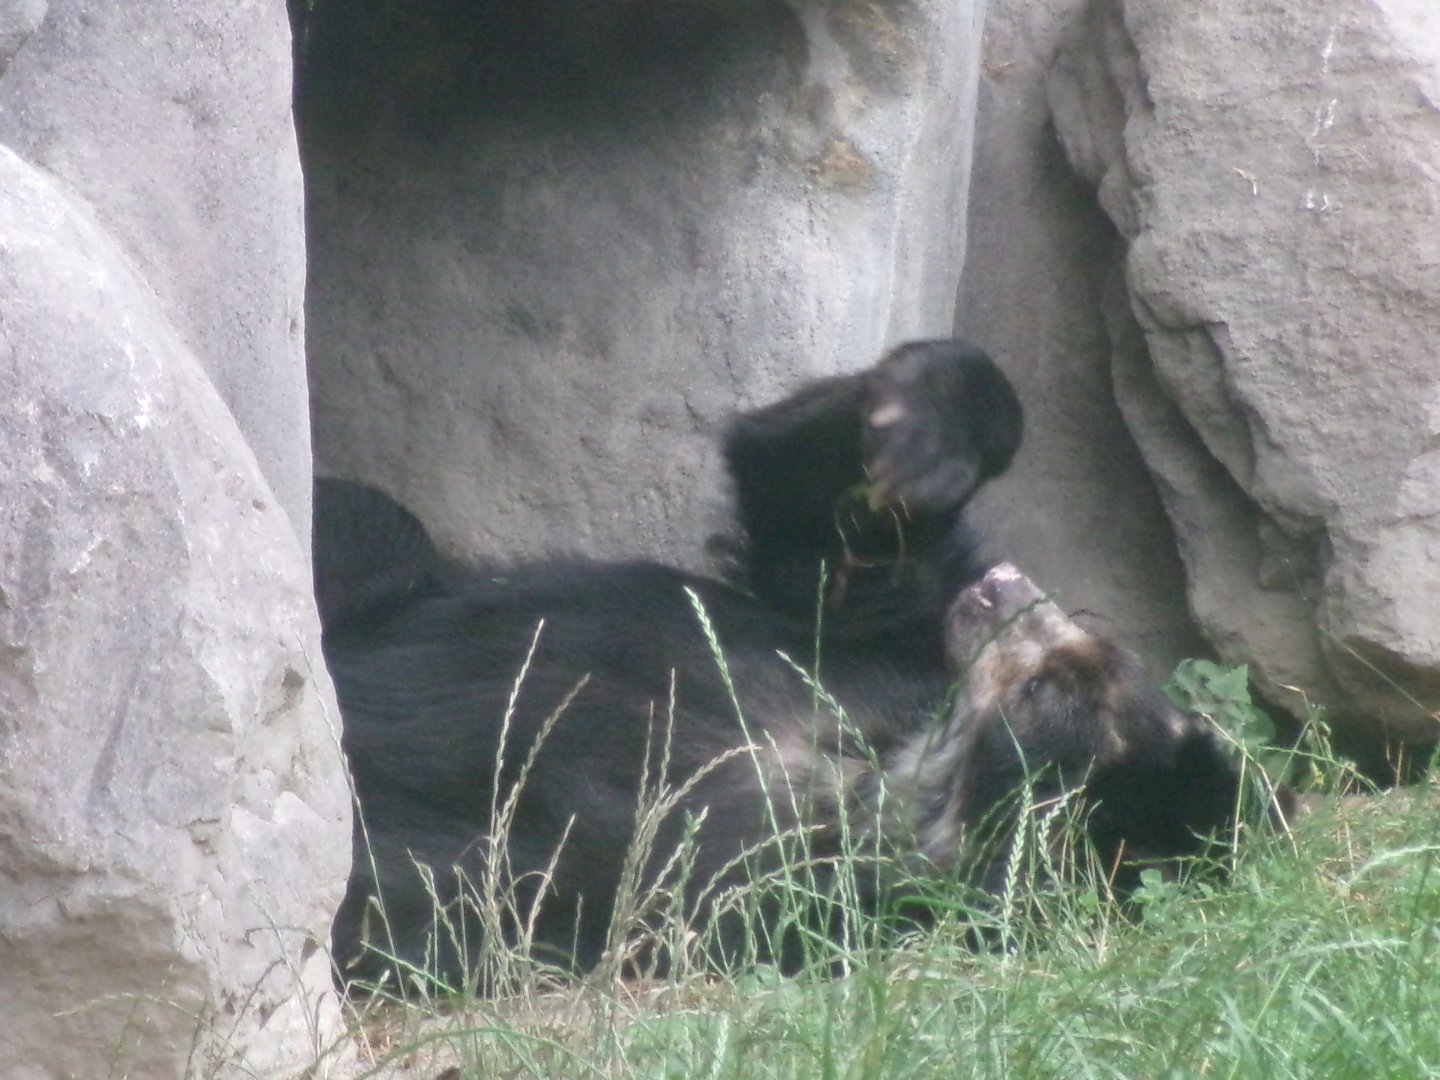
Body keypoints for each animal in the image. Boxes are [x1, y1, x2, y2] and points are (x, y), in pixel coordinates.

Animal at [316, 339, 1274, 996]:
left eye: (1051, 686)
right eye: (1099, 656)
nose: (1007, 586)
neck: (886, 770)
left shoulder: (741, 890)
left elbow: (468, 885)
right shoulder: (883, 641)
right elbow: (811, 530)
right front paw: (919, 430)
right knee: (369, 528)